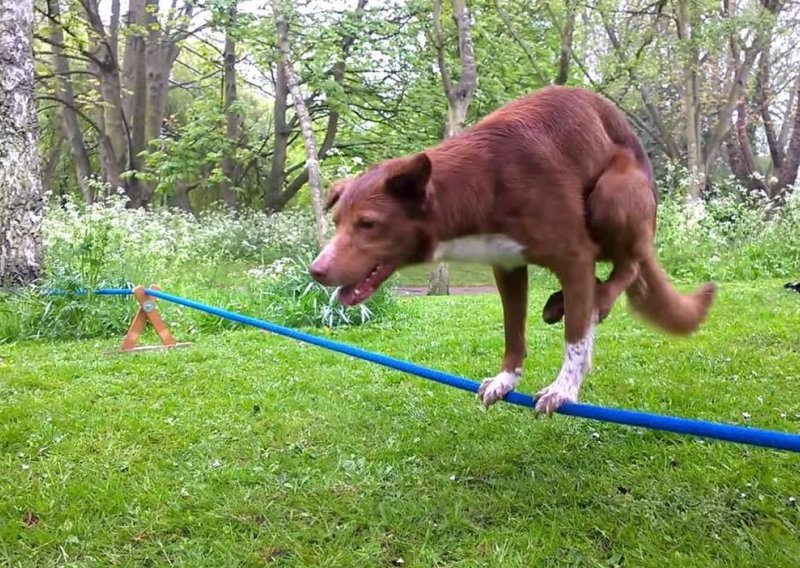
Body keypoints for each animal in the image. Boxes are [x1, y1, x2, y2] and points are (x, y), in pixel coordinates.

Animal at [310, 85, 716, 412]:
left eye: (367, 224)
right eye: (337, 222)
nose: (316, 271)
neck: (481, 184)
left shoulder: (574, 258)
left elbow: (575, 340)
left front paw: (564, 389)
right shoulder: (506, 265)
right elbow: (513, 331)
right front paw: (506, 379)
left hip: (613, 194)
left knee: (627, 267)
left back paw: (593, 303)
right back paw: (560, 303)